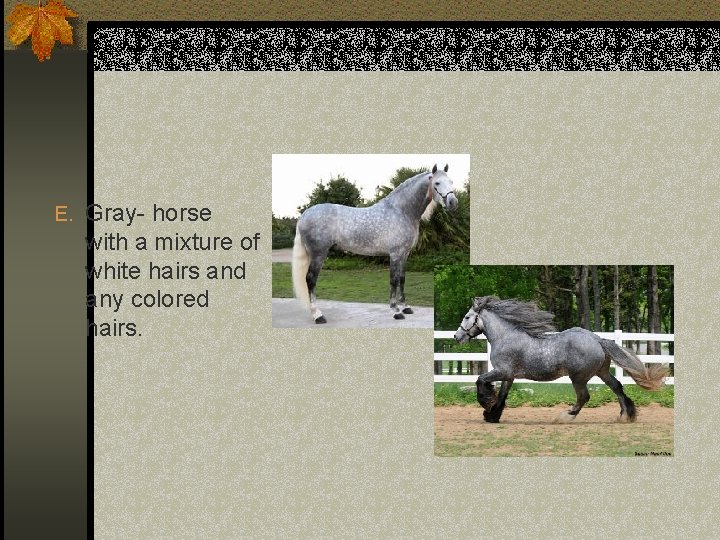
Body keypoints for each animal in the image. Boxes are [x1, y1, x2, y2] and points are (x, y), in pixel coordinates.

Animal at [292, 164, 459, 323]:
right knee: (310, 280)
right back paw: (318, 315)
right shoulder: (395, 254)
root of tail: (304, 216)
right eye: (437, 182)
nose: (453, 202)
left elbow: (402, 279)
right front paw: (396, 311)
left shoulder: (405, 254)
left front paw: (406, 307)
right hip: (318, 254)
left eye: (451, 181)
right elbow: (394, 280)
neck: (401, 211)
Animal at [454, 296, 667, 423]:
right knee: (617, 387)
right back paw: (625, 416)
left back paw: (566, 415)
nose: (457, 337)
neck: (505, 337)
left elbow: (480, 380)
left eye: (467, 317)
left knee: (584, 397)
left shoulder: (502, 371)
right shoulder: (509, 376)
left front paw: (486, 406)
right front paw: (492, 415)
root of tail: (597, 339)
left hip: (578, 377)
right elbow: (502, 395)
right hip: (602, 372)